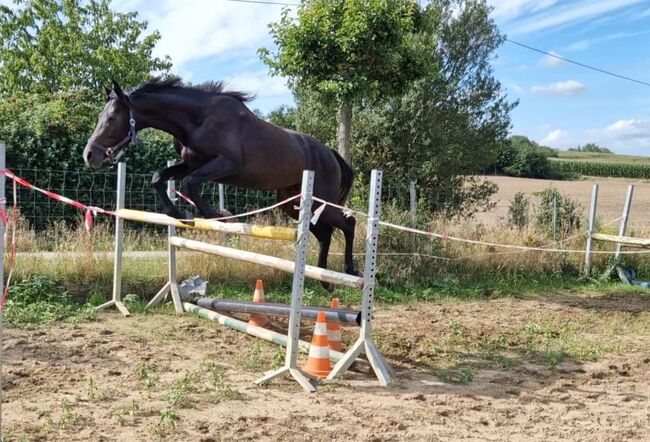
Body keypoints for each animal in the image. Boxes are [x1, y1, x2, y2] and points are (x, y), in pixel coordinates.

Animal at [83, 76, 356, 284]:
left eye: (111, 118)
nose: (89, 155)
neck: (198, 118)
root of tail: (331, 154)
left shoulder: (226, 164)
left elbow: (190, 183)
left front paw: (218, 215)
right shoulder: (193, 164)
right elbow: (159, 177)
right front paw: (180, 214)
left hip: (320, 201)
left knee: (347, 224)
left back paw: (349, 271)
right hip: (293, 202)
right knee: (325, 233)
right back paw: (325, 278)